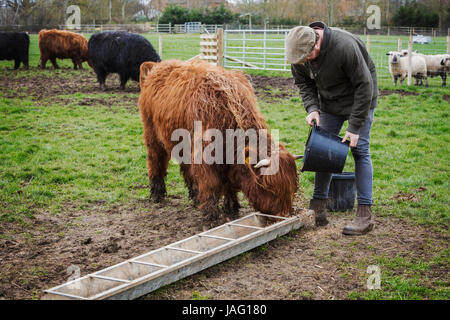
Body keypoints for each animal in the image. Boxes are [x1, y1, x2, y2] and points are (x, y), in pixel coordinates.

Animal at [137, 58, 298, 226]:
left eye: (293, 187)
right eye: (268, 188)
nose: (283, 216)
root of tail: (158, 65)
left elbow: (230, 184)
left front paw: (231, 208)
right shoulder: (205, 159)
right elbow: (211, 185)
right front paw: (211, 216)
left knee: (186, 167)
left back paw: (195, 196)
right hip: (152, 134)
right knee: (155, 160)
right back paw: (157, 194)